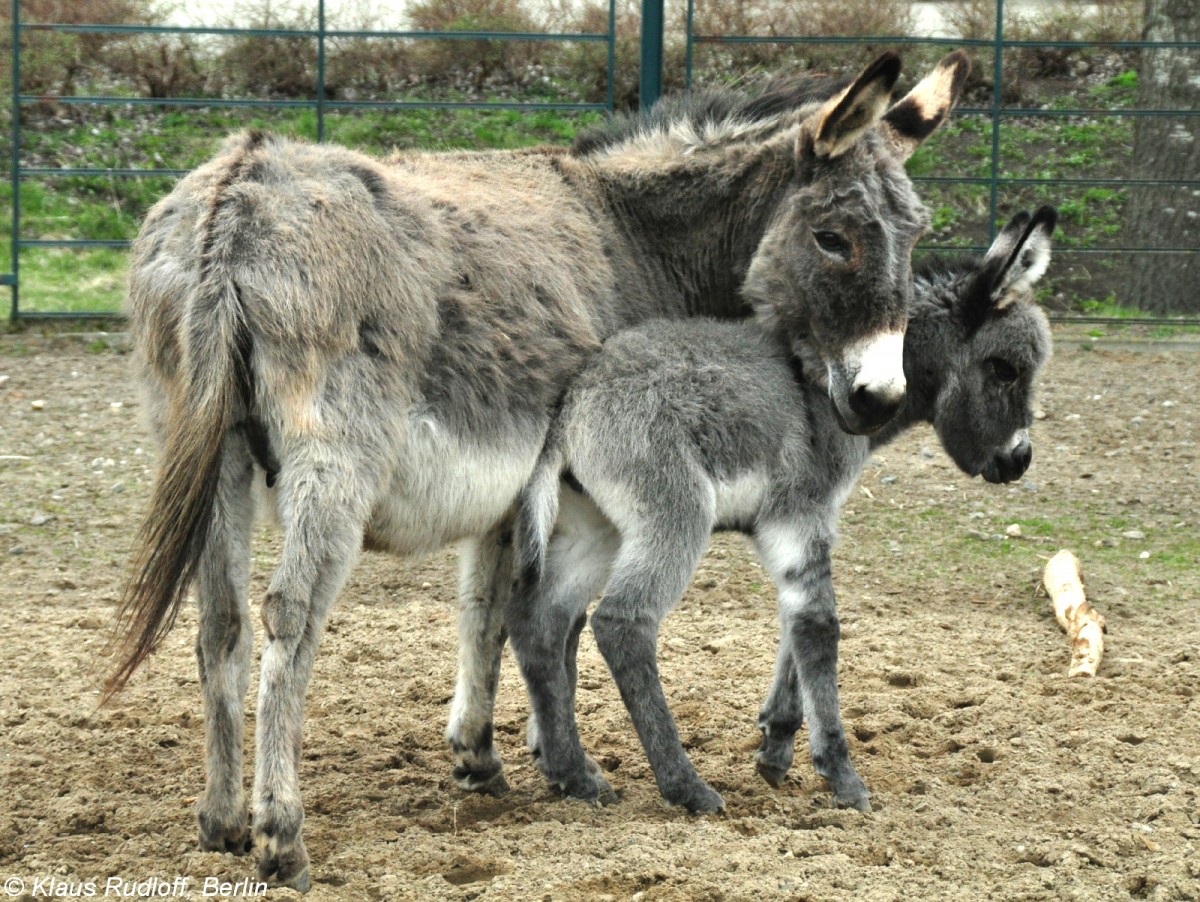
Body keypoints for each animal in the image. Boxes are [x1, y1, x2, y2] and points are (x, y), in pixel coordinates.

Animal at [511, 209, 1056, 810]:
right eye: (1004, 369)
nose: (1019, 461)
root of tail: (574, 402)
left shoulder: (797, 526)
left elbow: (794, 622)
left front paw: (776, 745)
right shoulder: (801, 516)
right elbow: (818, 627)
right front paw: (840, 776)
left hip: (596, 529)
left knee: (542, 621)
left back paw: (573, 773)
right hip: (675, 514)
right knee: (621, 622)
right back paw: (683, 784)